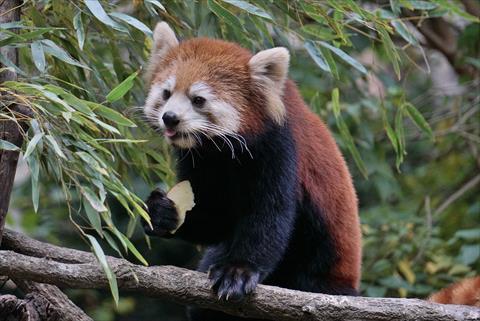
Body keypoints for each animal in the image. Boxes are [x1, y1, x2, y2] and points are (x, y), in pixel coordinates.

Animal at [142, 22, 360, 320]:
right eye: (166, 93)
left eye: (198, 99)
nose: (170, 118)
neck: (221, 152)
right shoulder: (200, 160)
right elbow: (214, 220)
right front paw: (162, 213)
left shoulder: (278, 148)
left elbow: (270, 215)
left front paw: (238, 272)